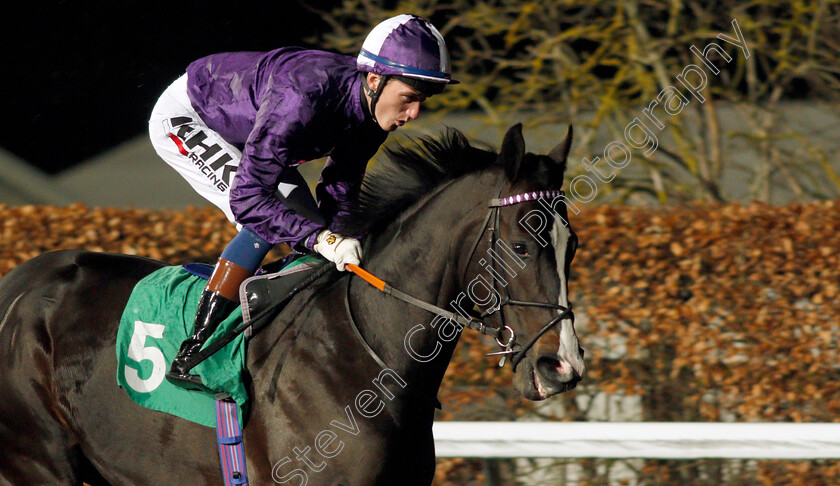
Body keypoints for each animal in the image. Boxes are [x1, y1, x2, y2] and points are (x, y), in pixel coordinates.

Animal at [0, 123, 584, 484]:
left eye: (572, 245)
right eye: (521, 244)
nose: (563, 366)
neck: (364, 352)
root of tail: (19, 283)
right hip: (38, 461)